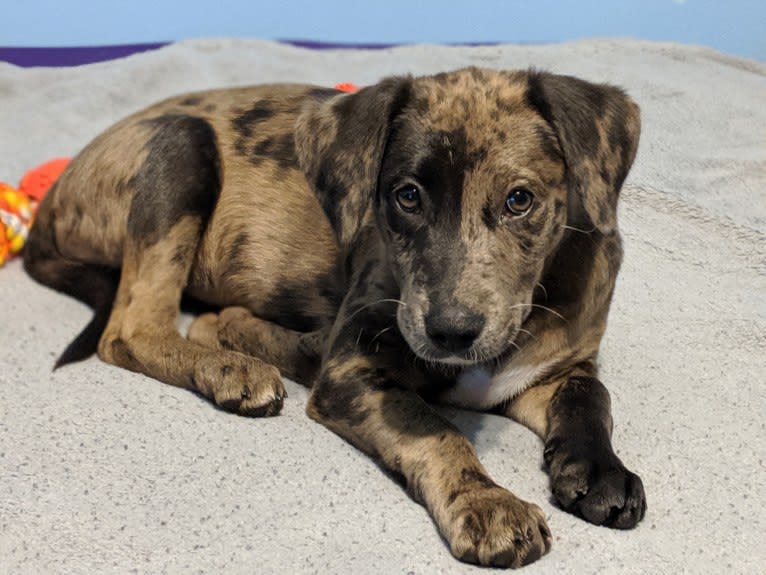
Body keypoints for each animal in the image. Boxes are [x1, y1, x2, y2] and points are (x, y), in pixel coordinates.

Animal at [24, 66, 648, 568]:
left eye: (521, 200)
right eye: (406, 196)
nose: (450, 332)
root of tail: (52, 199)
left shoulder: (556, 367)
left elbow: (590, 397)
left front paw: (601, 472)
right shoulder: (354, 367)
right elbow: (434, 427)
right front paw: (487, 502)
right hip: (182, 146)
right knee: (131, 330)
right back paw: (231, 368)